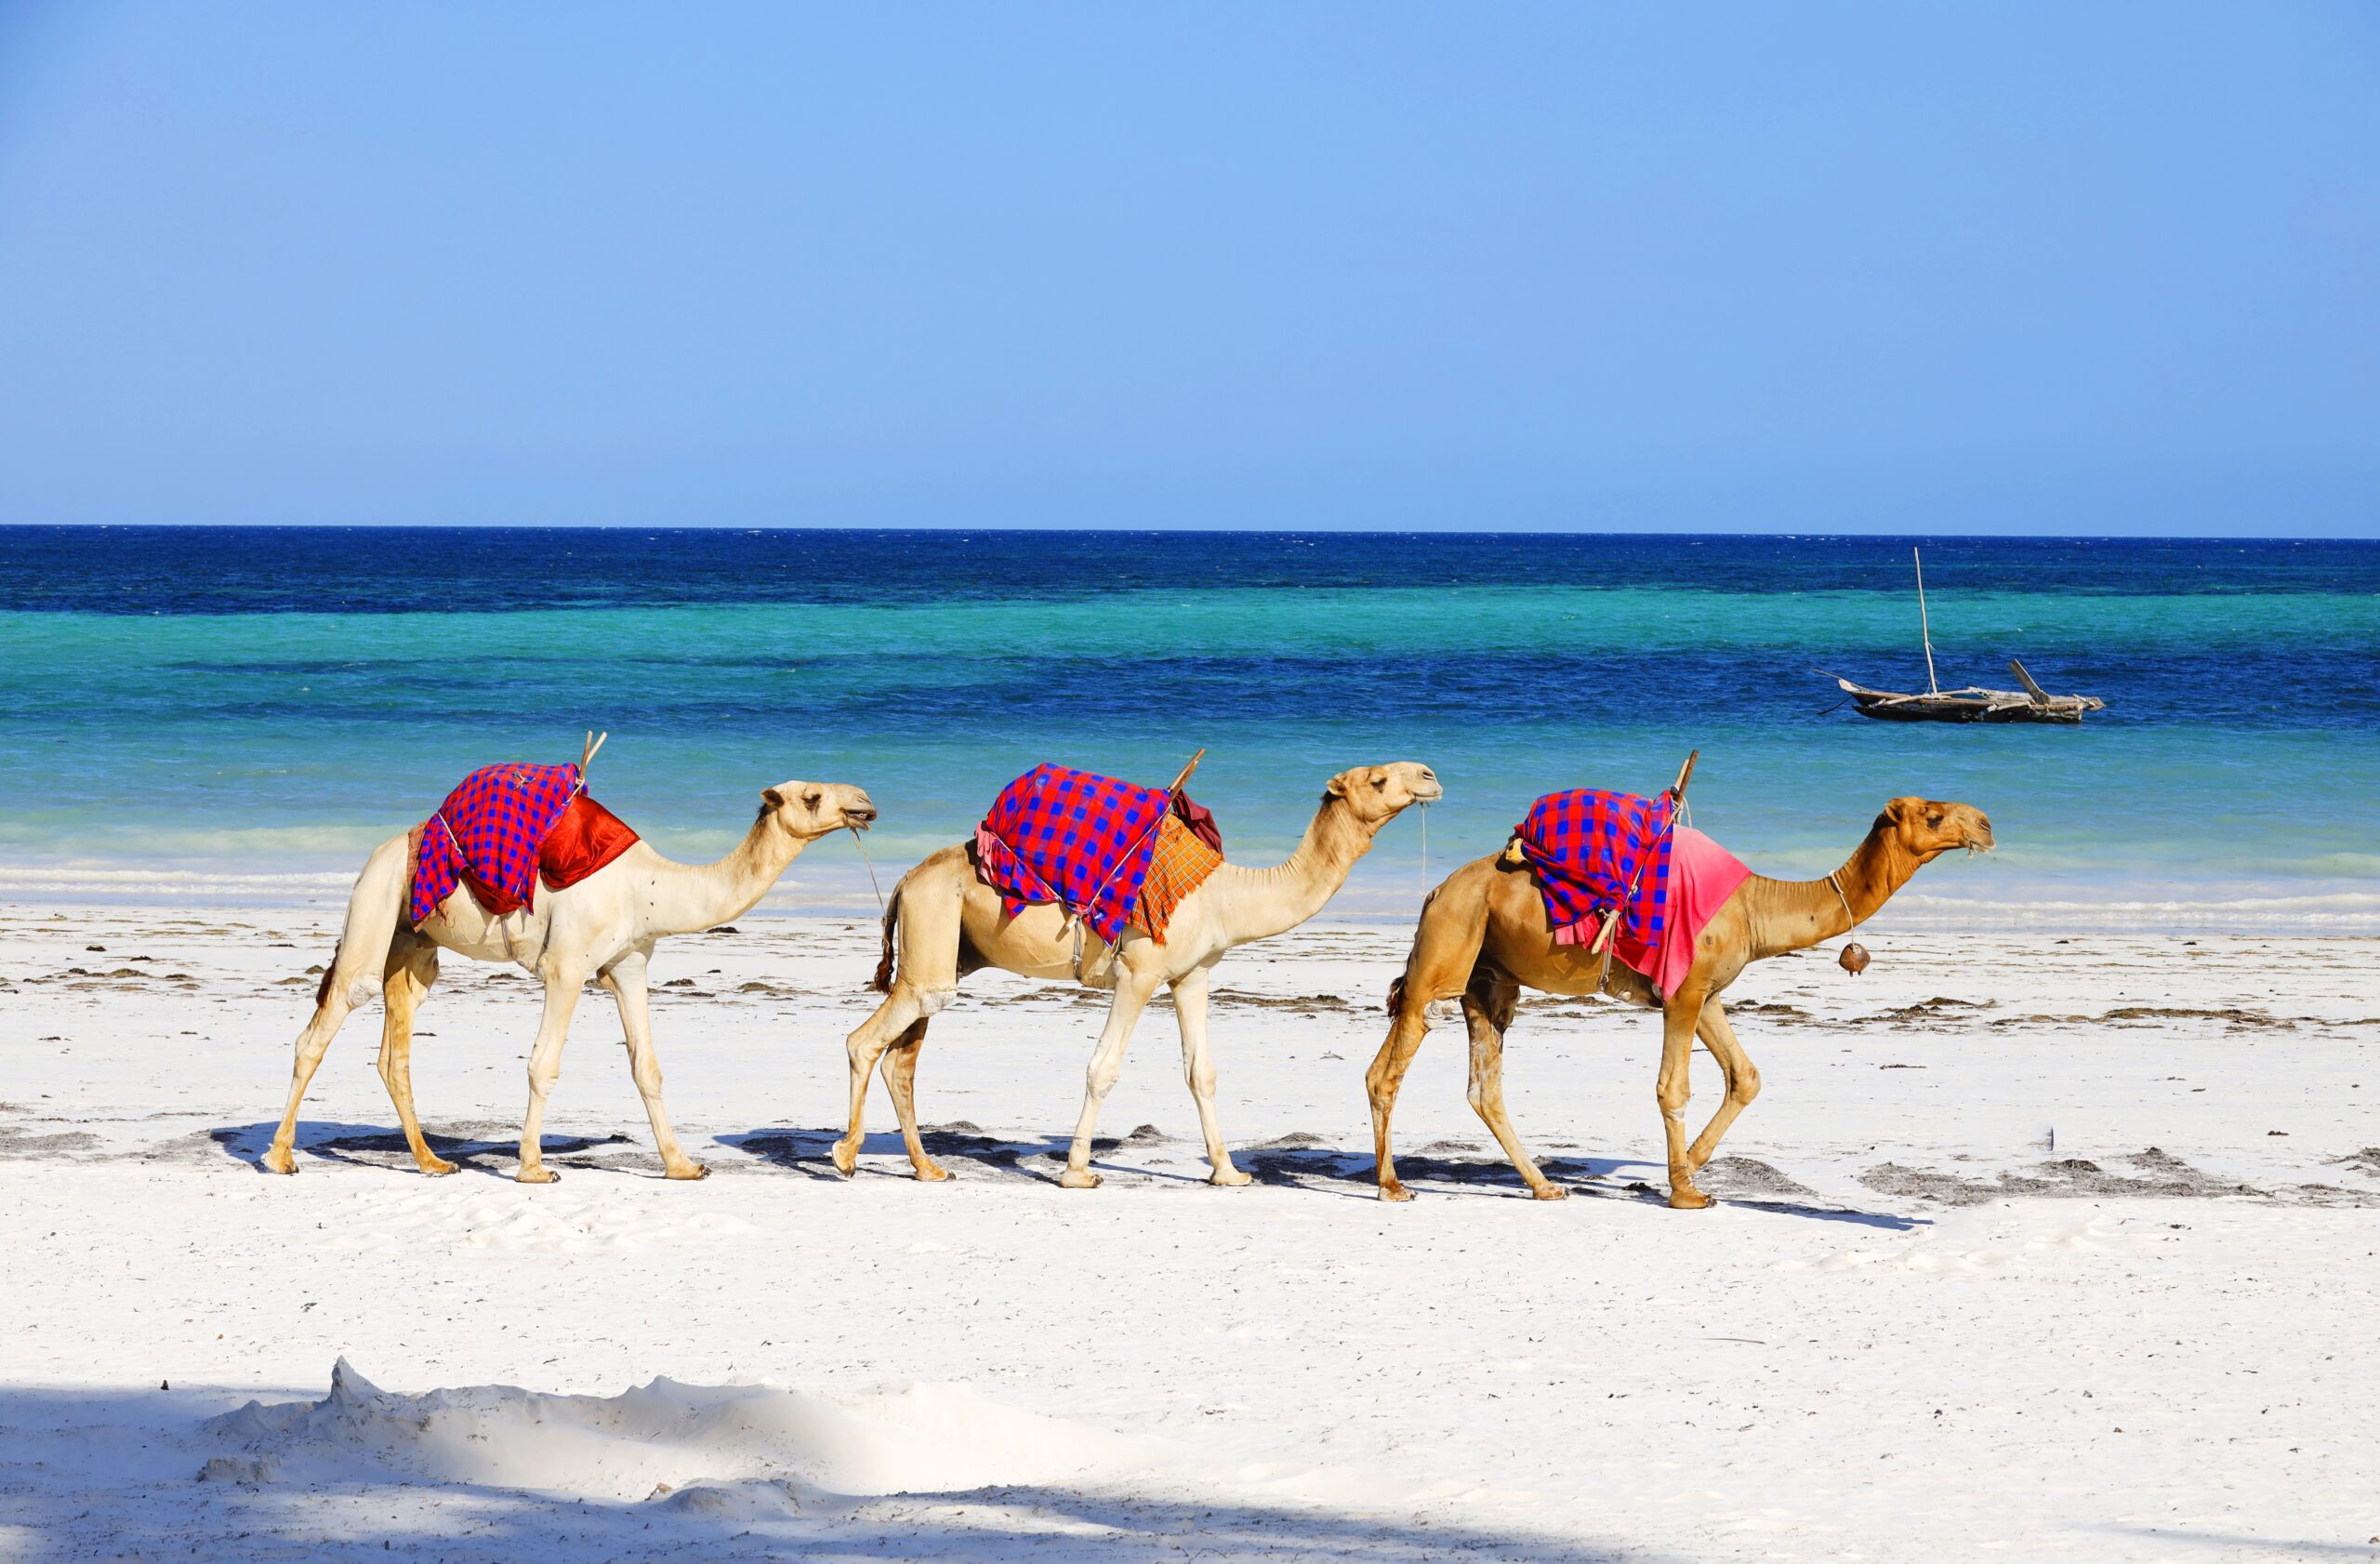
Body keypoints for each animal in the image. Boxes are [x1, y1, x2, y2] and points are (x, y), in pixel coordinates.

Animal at [262, 780, 876, 1185]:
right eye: (812, 797)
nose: (865, 803)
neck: (648, 888)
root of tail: (381, 852)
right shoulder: (566, 967)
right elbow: (543, 1064)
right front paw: (534, 1168)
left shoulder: (630, 965)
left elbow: (646, 1067)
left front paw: (682, 1165)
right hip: (375, 905)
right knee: (329, 1018)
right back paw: (280, 1157)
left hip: (412, 943)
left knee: (395, 1051)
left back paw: (433, 1161)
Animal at [838, 762, 1428, 1185]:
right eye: (1378, 779)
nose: (1429, 775)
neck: (1226, 895)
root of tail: (906, 879)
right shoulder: (1138, 973)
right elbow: (1103, 1068)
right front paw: (1077, 1173)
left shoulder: (1192, 974)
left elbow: (1201, 1072)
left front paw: (1229, 1173)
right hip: (933, 925)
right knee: (865, 1041)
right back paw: (846, 1157)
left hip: (945, 950)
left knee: (903, 1058)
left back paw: (928, 1168)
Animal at [1361, 795, 1990, 1209]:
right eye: (1933, 815)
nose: (1985, 825)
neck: (1756, 905)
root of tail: (1434, 891)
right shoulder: (1682, 994)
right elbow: (1672, 1087)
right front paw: (1686, 1191)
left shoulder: (1706, 992)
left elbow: (1746, 1076)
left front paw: (1691, 1164)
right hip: (1445, 951)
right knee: (1389, 1065)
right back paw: (1392, 1186)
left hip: (1488, 979)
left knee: (1483, 1086)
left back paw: (1544, 1186)